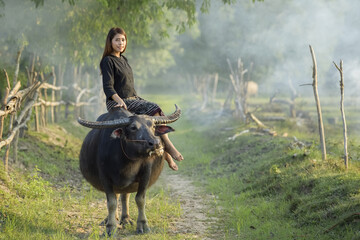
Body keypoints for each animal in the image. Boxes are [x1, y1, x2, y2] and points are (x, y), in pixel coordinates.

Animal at [78, 106, 180, 235]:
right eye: (133, 127)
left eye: (153, 126)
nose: (156, 144)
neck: (127, 163)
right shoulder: (105, 177)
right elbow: (111, 202)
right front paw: (110, 227)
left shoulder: (146, 175)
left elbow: (140, 199)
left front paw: (143, 225)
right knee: (117, 196)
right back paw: (111, 219)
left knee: (124, 195)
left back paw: (125, 219)